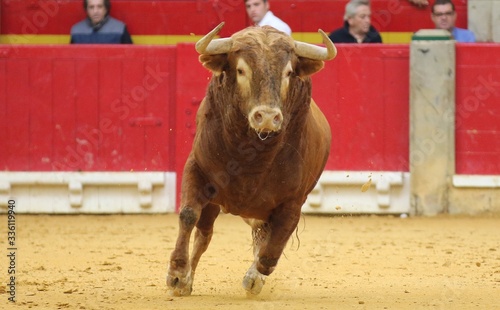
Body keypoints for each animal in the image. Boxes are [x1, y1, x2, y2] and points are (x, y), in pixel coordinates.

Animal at [167, 22, 336, 296]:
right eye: (240, 70)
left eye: (289, 72)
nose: (266, 117)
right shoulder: (197, 169)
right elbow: (188, 214)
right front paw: (177, 274)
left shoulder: (293, 202)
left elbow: (270, 252)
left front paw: (254, 279)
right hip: (214, 202)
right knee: (204, 234)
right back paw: (186, 282)